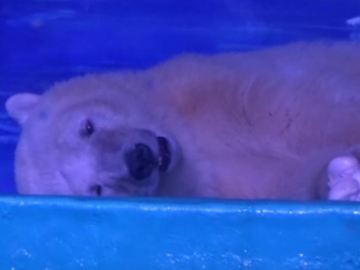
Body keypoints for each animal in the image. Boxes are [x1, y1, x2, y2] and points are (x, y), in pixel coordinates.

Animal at [6, 42, 360, 200]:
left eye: (87, 127)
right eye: (96, 189)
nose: (139, 159)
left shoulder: (212, 90)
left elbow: (306, 110)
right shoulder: (225, 186)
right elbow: (291, 180)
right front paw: (345, 182)